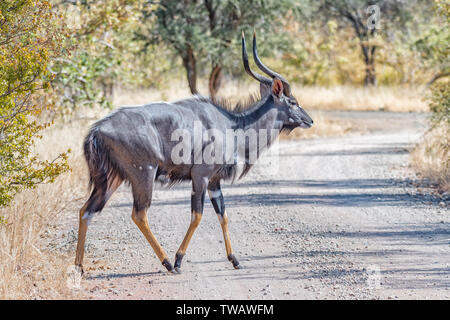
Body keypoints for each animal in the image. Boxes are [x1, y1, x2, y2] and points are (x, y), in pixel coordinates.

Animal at [74, 31, 312, 272]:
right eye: (293, 101)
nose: (310, 120)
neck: (232, 126)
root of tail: (97, 130)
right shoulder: (201, 176)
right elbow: (197, 216)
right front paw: (179, 259)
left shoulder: (214, 181)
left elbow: (223, 215)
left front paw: (234, 259)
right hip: (143, 175)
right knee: (138, 214)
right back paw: (168, 263)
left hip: (111, 180)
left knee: (86, 211)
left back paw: (79, 267)